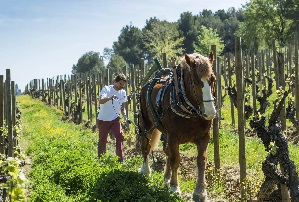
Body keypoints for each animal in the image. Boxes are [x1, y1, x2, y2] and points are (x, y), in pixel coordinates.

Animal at [138, 52, 218, 201]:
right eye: (195, 82)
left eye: (213, 79)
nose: (210, 112)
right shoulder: (173, 136)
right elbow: (175, 160)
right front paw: (174, 188)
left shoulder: (204, 136)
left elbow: (201, 161)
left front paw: (200, 192)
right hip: (146, 123)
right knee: (145, 146)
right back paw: (145, 171)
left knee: (167, 152)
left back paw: (166, 179)